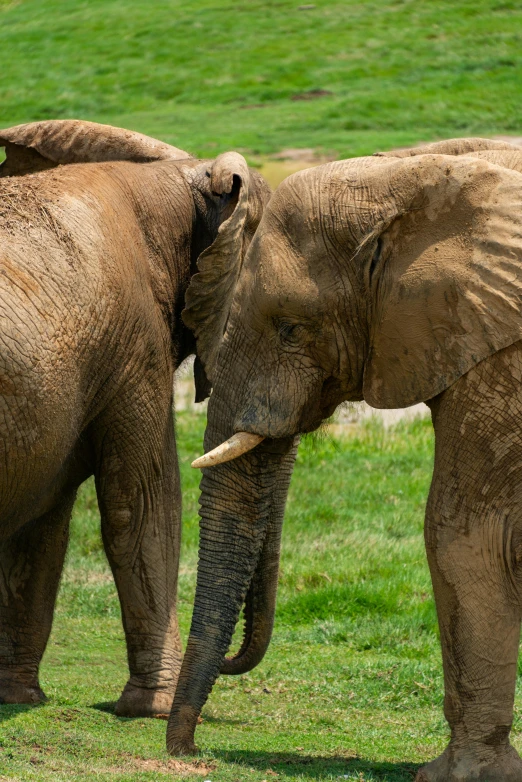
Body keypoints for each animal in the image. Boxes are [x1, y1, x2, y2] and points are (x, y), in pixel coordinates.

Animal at [0, 124, 270, 724]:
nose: (232, 664)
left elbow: (41, 532)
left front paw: (17, 698)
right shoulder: (134, 346)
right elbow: (143, 507)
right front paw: (154, 709)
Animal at [167, 136, 522, 782]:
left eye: (290, 328)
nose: (185, 751)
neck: (412, 173)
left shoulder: (502, 354)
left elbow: (462, 532)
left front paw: (457, 775)